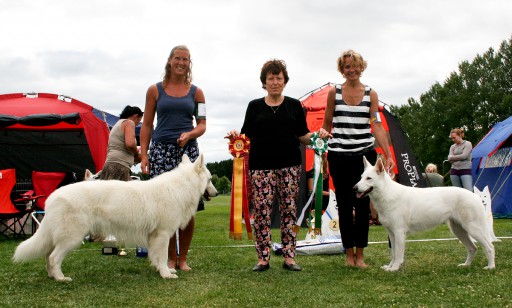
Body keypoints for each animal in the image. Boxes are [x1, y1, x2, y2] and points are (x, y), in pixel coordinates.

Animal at [12, 154, 216, 282]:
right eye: (210, 179)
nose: (215, 193)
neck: (181, 186)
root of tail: (52, 197)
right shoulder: (163, 234)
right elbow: (163, 255)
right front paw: (166, 274)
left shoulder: (155, 236)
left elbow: (157, 257)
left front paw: (162, 270)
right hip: (72, 238)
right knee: (54, 257)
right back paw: (61, 278)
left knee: (47, 256)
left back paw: (52, 276)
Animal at [354, 158, 494, 270]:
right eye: (361, 177)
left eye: (369, 178)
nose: (354, 188)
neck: (387, 193)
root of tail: (475, 196)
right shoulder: (391, 234)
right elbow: (393, 254)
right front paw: (389, 266)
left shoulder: (399, 233)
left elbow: (398, 254)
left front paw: (394, 268)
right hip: (459, 231)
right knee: (473, 248)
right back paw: (466, 265)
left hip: (473, 229)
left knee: (490, 247)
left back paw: (490, 267)